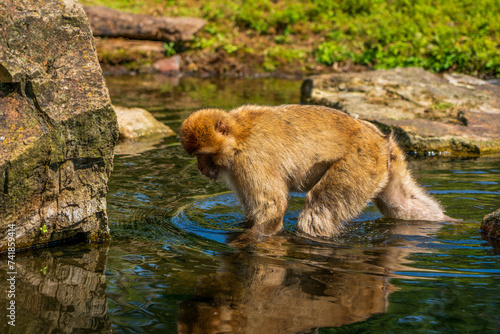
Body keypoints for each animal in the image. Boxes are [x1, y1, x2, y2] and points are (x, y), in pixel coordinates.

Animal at [181, 103, 458, 237]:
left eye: (204, 155)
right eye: (197, 157)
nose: (200, 168)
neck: (239, 135)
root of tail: (380, 140)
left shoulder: (252, 160)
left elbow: (273, 206)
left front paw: (248, 241)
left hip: (359, 164)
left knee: (318, 209)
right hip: (384, 164)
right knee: (399, 203)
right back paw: (449, 221)